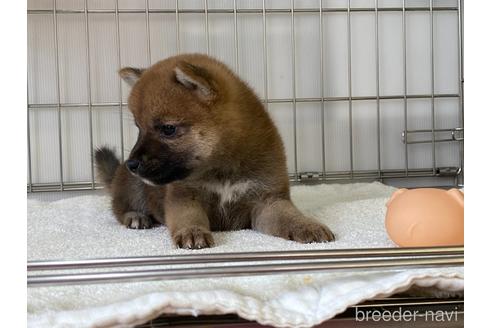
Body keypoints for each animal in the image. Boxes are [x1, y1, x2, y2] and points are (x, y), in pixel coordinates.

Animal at [95, 53, 334, 249]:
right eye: (138, 127)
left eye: (168, 129)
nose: (132, 164)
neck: (222, 167)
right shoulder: (184, 197)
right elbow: (189, 218)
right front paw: (192, 232)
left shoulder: (268, 201)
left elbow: (290, 216)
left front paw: (308, 226)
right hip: (134, 187)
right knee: (119, 206)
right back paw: (136, 216)